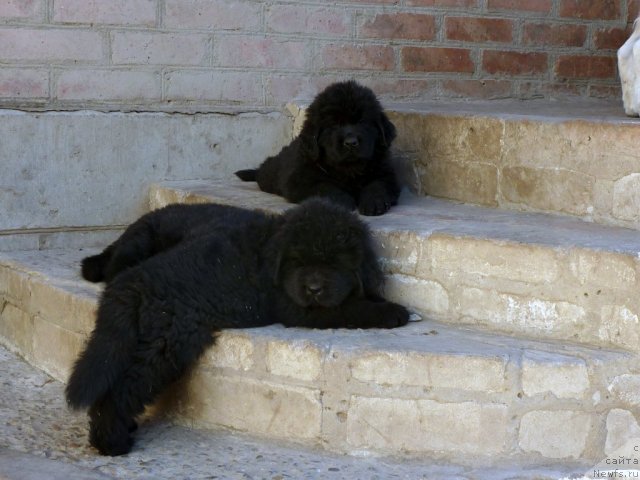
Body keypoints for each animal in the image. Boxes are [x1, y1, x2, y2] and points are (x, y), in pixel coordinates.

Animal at [67, 201, 410, 456]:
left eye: (336, 263)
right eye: (298, 260)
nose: (313, 288)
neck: (270, 250)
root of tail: (131, 283)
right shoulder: (294, 307)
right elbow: (348, 308)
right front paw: (393, 312)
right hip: (164, 343)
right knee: (125, 388)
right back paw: (112, 441)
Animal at [235, 80, 400, 216]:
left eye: (362, 122)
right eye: (333, 125)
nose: (351, 142)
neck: (348, 169)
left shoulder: (386, 173)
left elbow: (377, 185)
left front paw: (374, 202)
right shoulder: (299, 180)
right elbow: (324, 186)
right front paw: (342, 201)